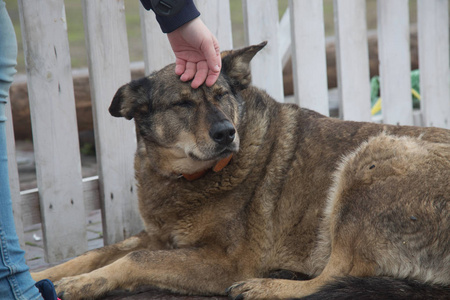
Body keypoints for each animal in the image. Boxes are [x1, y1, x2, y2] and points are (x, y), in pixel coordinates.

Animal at [32, 42, 450, 300]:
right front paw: (42, 276)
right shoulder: (159, 237)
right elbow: (98, 253)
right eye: (182, 104)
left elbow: (134, 260)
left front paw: (81, 284)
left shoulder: (225, 262)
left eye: (220, 96)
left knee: (332, 279)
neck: (187, 178)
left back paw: (264, 288)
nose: (225, 133)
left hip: (369, 158)